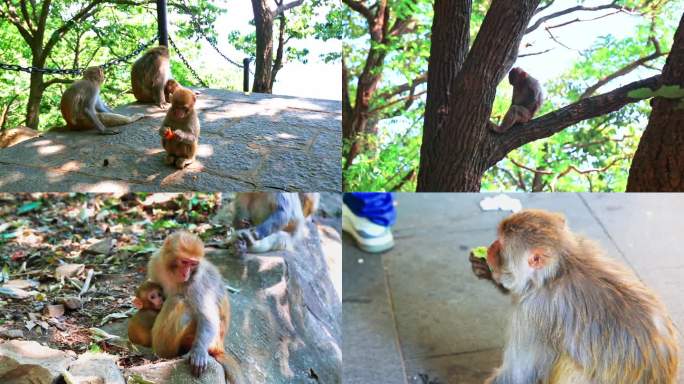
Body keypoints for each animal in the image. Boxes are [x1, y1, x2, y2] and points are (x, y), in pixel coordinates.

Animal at [147, 230, 243, 382]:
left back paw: (164, 354)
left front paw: (198, 351)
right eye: (185, 262)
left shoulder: (197, 283)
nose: (186, 273)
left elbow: (208, 318)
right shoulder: (155, 262)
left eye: (193, 264)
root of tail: (220, 347)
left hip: (205, 340)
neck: (172, 273)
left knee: (178, 301)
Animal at [480, 210, 680, 384]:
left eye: (501, 246)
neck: (557, 271)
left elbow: (517, 375)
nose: (490, 248)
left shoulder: (532, 314)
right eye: (497, 240)